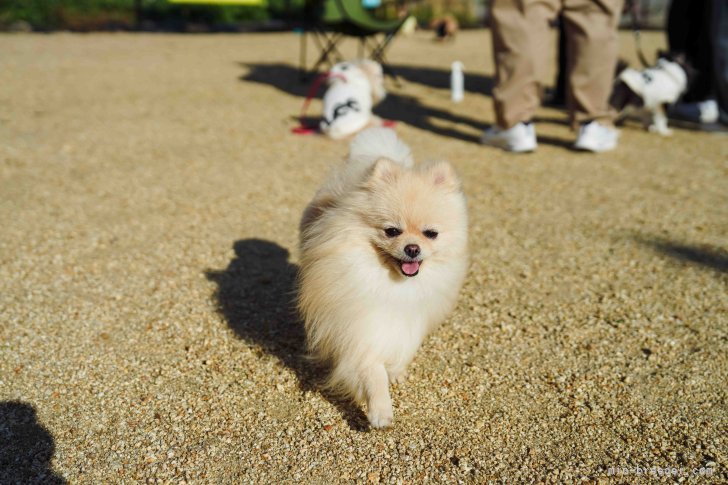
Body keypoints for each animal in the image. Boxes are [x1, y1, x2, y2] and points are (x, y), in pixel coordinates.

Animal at [298, 126, 470, 426]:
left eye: (431, 233)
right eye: (391, 231)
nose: (412, 248)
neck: (393, 284)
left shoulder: (408, 319)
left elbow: (403, 348)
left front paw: (396, 371)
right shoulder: (359, 326)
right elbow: (371, 370)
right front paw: (380, 409)